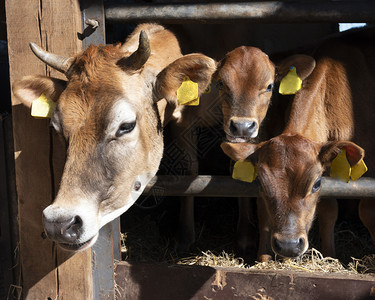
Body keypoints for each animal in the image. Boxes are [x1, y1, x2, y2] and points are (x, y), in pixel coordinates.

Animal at [11, 23, 216, 252]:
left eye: (126, 126)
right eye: (57, 128)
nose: (59, 223)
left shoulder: (186, 120)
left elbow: (190, 170)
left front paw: (185, 236)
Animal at [220, 28, 375, 262]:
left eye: (316, 184)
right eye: (261, 185)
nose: (288, 245)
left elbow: (367, 208)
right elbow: (328, 209)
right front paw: (329, 255)